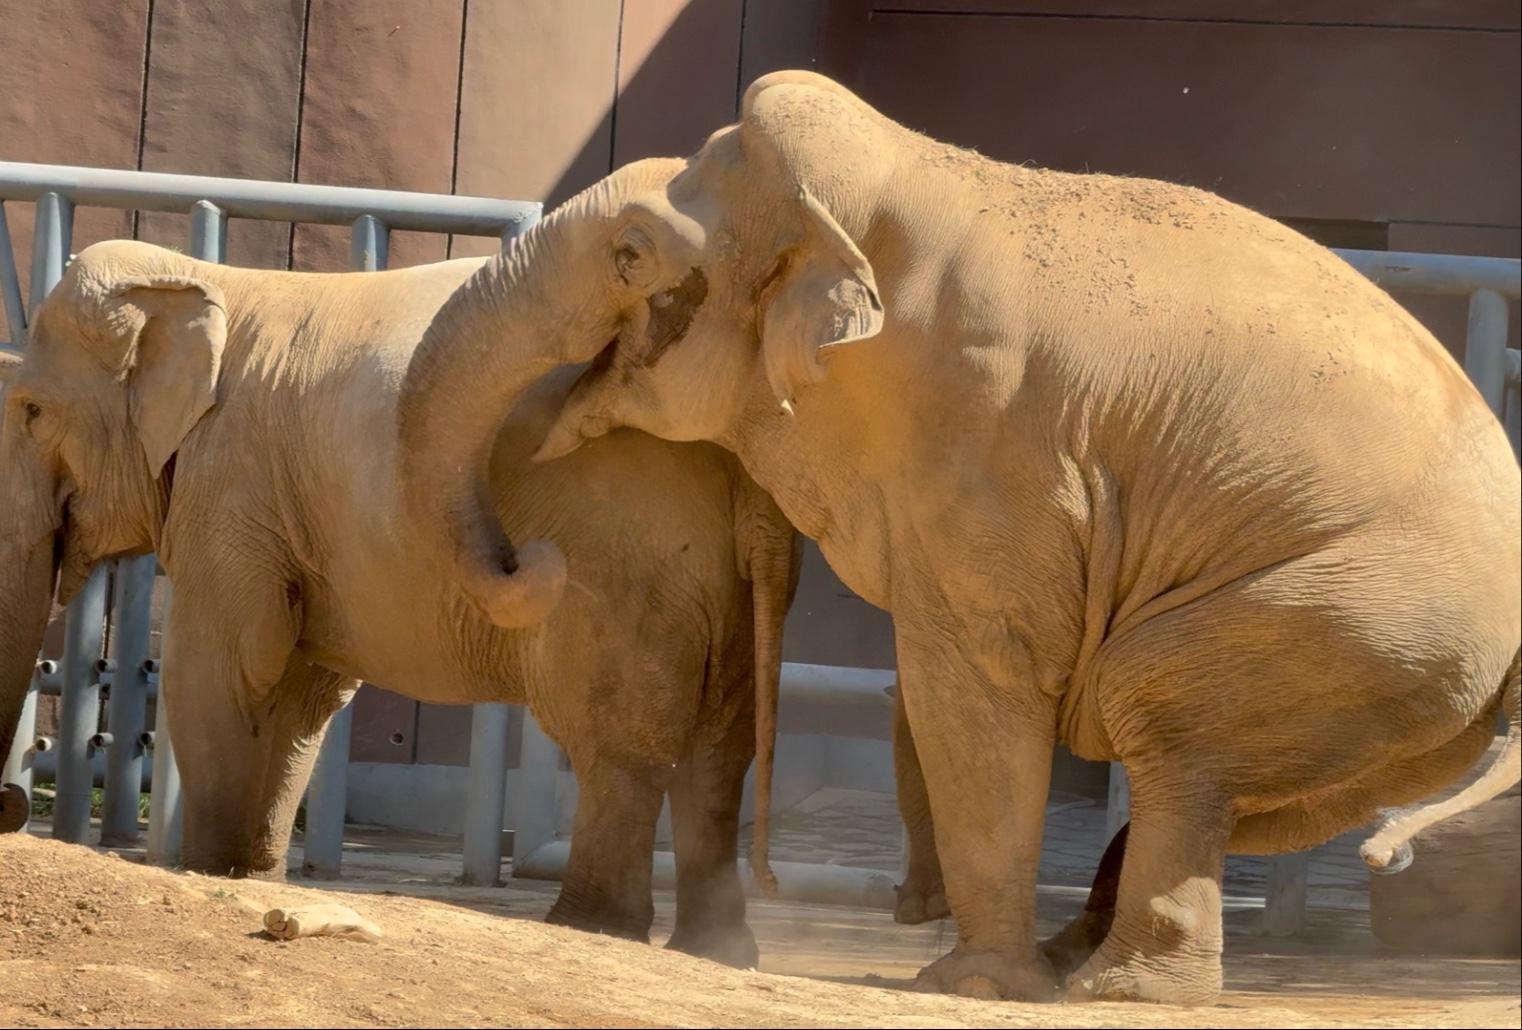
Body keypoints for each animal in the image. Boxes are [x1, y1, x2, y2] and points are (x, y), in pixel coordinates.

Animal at [0, 240, 802, 968]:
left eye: (33, 411)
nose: (12, 806)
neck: (202, 277)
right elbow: (303, 694)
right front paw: (255, 877)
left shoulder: (232, 485)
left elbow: (222, 669)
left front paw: (206, 871)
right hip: (727, 579)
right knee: (720, 746)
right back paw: (717, 949)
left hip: (628, 557)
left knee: (622, 740)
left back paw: (591, 926)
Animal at [389, 69, 1520, 1005]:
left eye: (630, 258)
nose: (528, 559)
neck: (889, 183)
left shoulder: (982, 435)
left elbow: (972, 675)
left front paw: (969, 982)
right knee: (1263, 793)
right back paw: (1081, 957)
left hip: (1353, 613)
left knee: (1155, 711)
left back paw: (1117, 991)